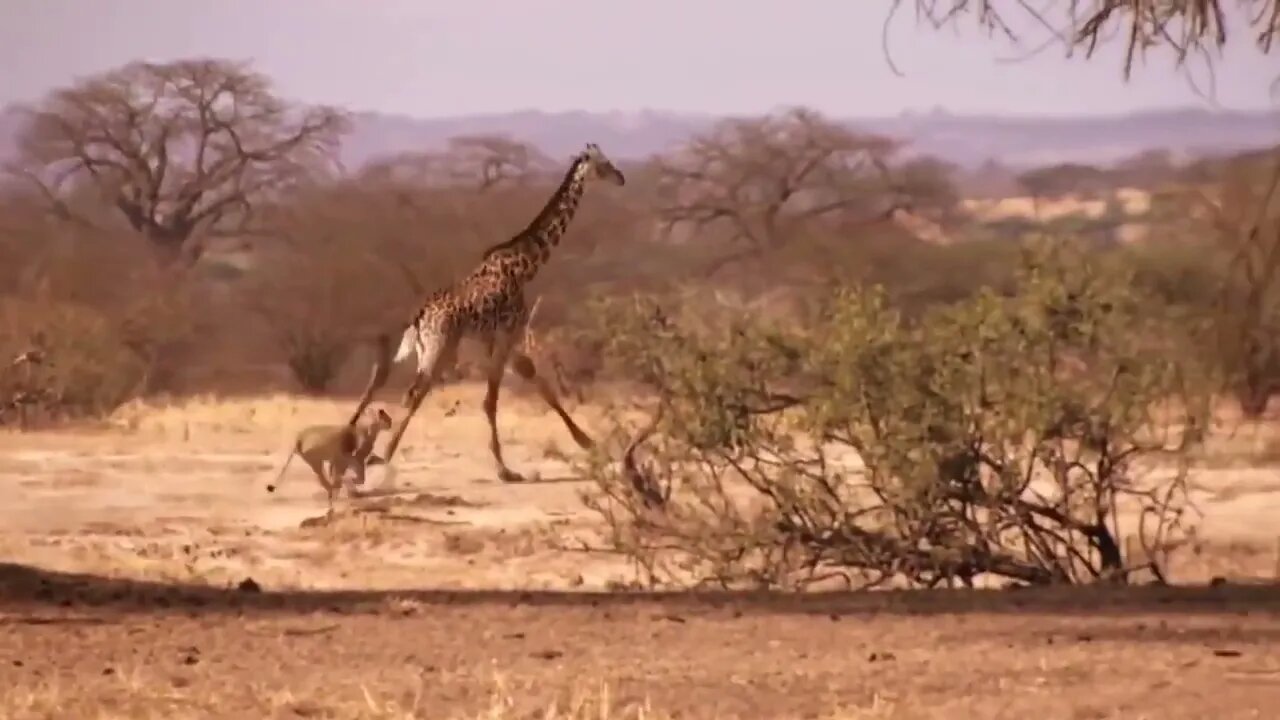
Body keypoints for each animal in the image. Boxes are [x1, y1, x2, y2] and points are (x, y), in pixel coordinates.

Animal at [348, 140, 627, 481]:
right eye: (603, 164)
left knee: (402, 388)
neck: (526, 266)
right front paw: (504, 469)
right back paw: (383, 455)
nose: (621, 177)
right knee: (413, 392)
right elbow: (491, 400)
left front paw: (587, 441)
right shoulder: (508, 334)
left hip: (432, 350)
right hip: (441, 348)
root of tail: (420, 316)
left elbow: (537, 382)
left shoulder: (499, 337)